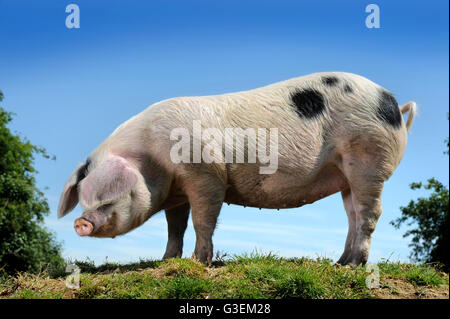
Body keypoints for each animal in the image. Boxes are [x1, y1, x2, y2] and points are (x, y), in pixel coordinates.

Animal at [58, 72, 416, 268]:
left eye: (106, 199)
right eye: (84, 201)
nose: (80, 222)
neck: (154, 162)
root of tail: (394, 106)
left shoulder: (206, 174)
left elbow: (203, 220)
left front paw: (199, 262)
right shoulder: (177, 191)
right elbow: (176, 226)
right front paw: (167, 260)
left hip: (368, 158)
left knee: (370, 212)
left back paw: (354, 265)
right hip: (346, 175)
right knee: (352, 214)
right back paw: (339, 262)